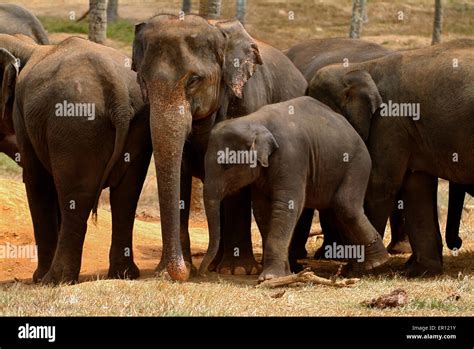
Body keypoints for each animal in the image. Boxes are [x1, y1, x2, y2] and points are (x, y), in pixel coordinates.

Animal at [0, 33, 152, 282]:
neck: (24, 45)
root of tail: (118, 92)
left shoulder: (22, 116)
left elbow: (37, 181)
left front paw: (37, 278)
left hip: (75, 125)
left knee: (75, 196)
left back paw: (54, 280)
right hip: (137, 124)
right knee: (127, 195)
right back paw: (124, 275)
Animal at [131, 14, 308, 280]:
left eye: (194, 80)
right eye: (143, 80)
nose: (179, 273)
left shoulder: (247, 100)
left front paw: (238, 269)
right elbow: (180, 175)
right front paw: (174, 270)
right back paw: (215, 264)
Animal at [200, 95, 388, 280]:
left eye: (226, 166)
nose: (202, 272)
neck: (254, 120)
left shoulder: (292, 156)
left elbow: (287, 206)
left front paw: (270, 277)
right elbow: (262, 210)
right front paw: (284, 273)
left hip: (358, 163)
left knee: (346, 206)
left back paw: (377, 262)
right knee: (337, 211)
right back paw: (355, 269)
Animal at [308, 39, 474, 276]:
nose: (458, 243)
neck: (362, 68)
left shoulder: (389, 121)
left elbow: (379, 185)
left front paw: (355, 270)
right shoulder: (408, 129)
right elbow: (416, 187)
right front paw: (419, 271)